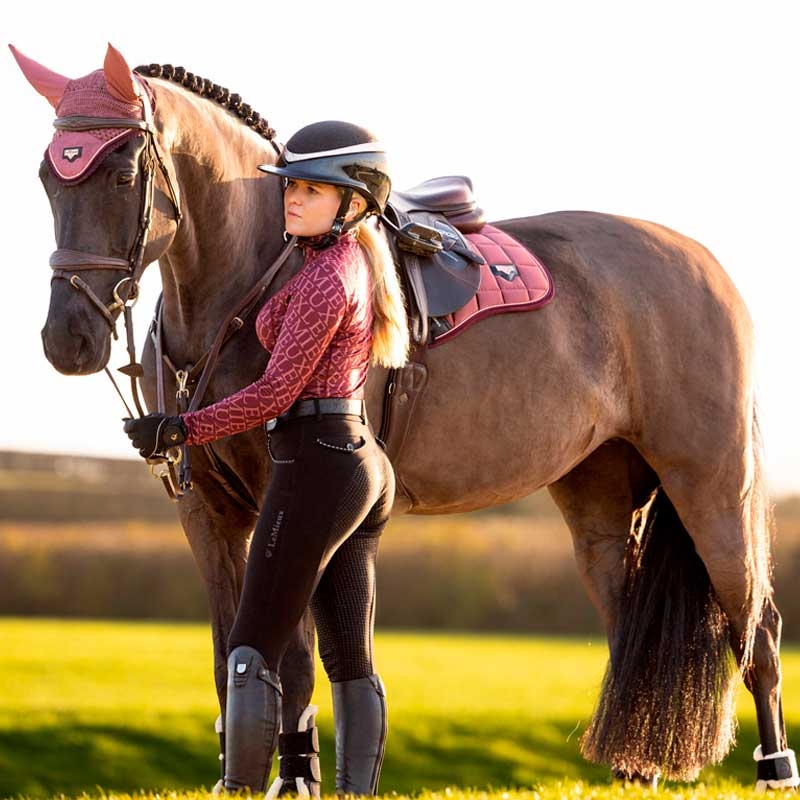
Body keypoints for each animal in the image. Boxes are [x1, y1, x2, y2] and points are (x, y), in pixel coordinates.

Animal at [10, 45, 792, 792]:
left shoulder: (283, 505)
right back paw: (636, 771)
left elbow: (292, 661)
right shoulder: (207, 513)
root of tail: (702, 263)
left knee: (755, 629)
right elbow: (231, 654)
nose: (67, 340)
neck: (254, 279)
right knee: (632, 627)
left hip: (712, 488)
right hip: (599, 499)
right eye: (49, 178)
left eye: (121, 174)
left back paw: (774, 769)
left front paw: (294, 778)